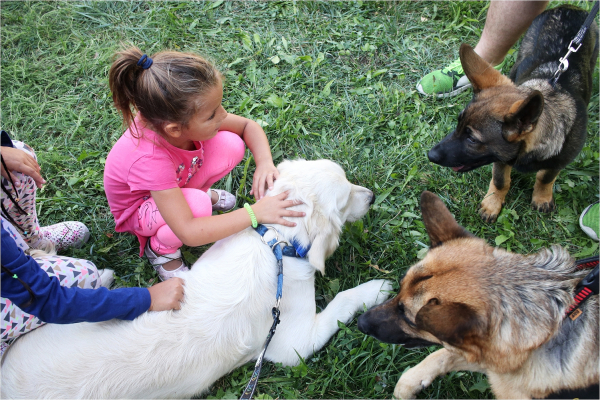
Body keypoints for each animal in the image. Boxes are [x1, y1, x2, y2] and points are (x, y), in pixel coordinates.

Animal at [0, 160, 392, 400]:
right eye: (345, 198)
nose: (372, 195)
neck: (273, 243)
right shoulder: (292, 344)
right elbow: (340, 301)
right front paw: (380, 289)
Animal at [358, 192, 596, 398]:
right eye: (399, 288)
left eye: (408, 319)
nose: (360, 322)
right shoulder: (489, 359)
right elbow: (443, 354)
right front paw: (411, 382)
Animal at [428, 5, 596, 222]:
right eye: (458, 124)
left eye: (472, 139)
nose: (430, 155)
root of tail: (568, 7)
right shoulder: (501, 160)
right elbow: (501, 181)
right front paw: (492, 203)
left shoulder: (558, 161)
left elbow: (545, 177)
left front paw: (541, 197)